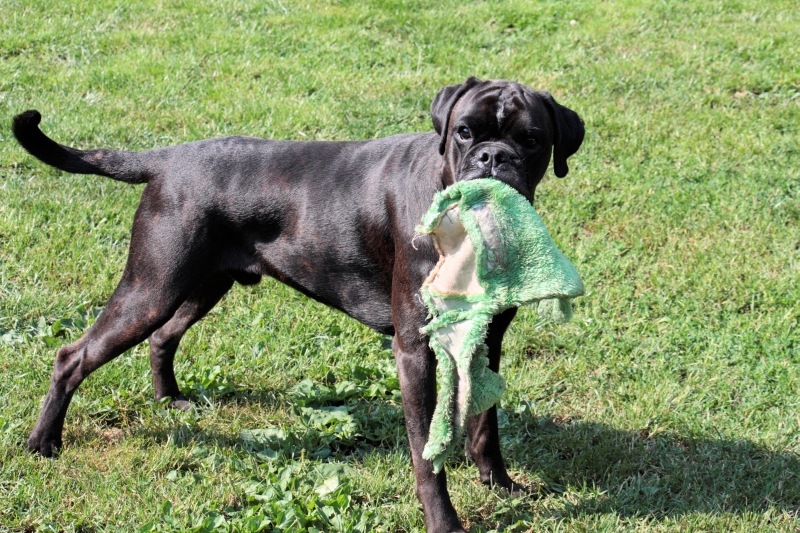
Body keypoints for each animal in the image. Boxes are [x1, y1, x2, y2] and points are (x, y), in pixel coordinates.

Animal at [12, 76, 584, 532]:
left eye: (532, 140)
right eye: (465, 132)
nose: (493, 157)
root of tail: (169, 158)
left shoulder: (487, 342)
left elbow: (486, 427)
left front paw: (500, 484)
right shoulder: (414, 351)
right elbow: (427, 456)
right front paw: (444, 522)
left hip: (199, 285)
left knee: (162, 336)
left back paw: (169, 399)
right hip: (152, 287)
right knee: (74, 355)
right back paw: (43, 444)